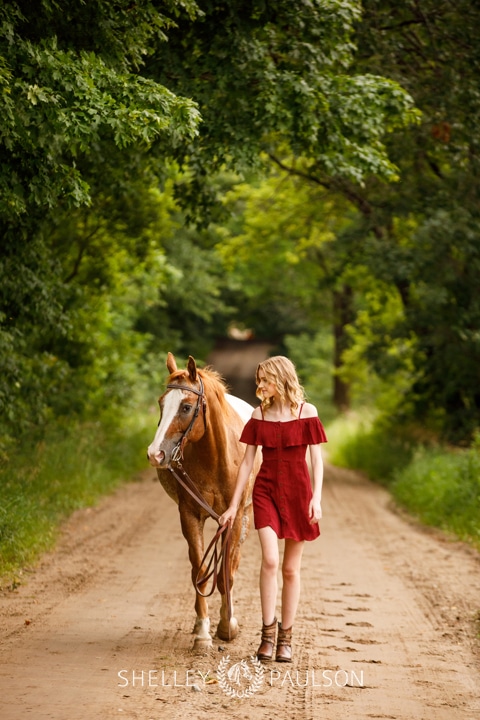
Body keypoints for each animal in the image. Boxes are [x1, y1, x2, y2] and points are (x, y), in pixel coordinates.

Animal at [147, 354, 256, 652]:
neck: (217, 458)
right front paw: (203, 633)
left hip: (244, 518)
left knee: (233, 564)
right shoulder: (189, 515)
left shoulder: (232, 518)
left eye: (186, 407)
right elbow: (201, 570)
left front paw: (227, 625)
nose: (155, 453)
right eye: (161, 403)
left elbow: (226, 573)